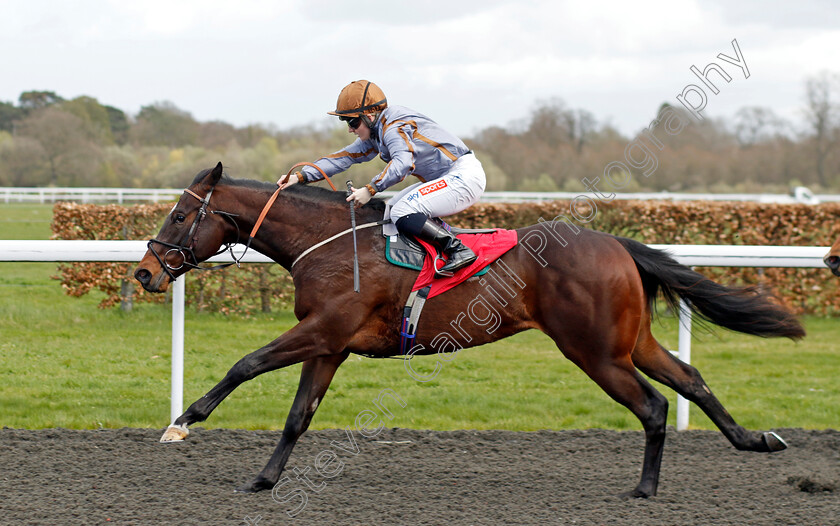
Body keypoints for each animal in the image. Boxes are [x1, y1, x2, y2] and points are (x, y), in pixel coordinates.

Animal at [135, 164, 804, 500]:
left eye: (178, 213)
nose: (144, 272)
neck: (324, 242)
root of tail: (616, 243)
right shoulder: (330, 344)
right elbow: (299, 416)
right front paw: (264, 479)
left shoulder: (323, 330)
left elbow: (245, 364)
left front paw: (182, 422)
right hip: (628, 341)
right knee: (689, 379)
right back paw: (756, 441)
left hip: (594, 351)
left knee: (654, 405)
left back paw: (644, 488)